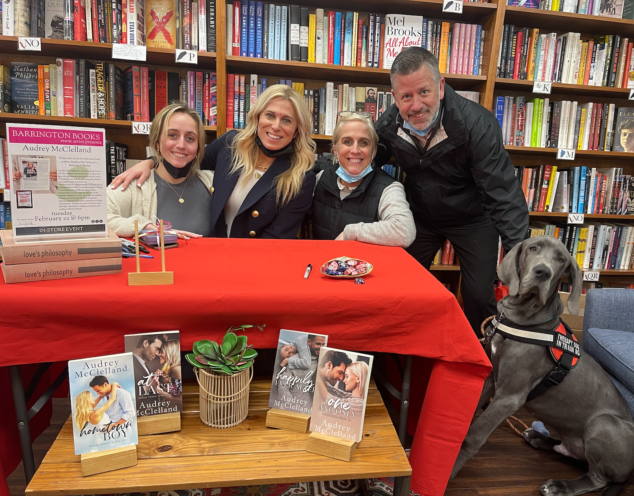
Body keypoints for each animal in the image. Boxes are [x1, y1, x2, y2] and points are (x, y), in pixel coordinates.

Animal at [450, 235, 632, 496]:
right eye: (533, 248)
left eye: (561, 259)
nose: (542, 272)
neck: (521, 318)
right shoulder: (492, 380)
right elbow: (469, 411)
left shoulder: (509, 397)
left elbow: (473, 435)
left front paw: (448, 470)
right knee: (573, 454)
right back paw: (540, 438)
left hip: (604, 424)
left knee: (598, 478)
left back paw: (560, 485)